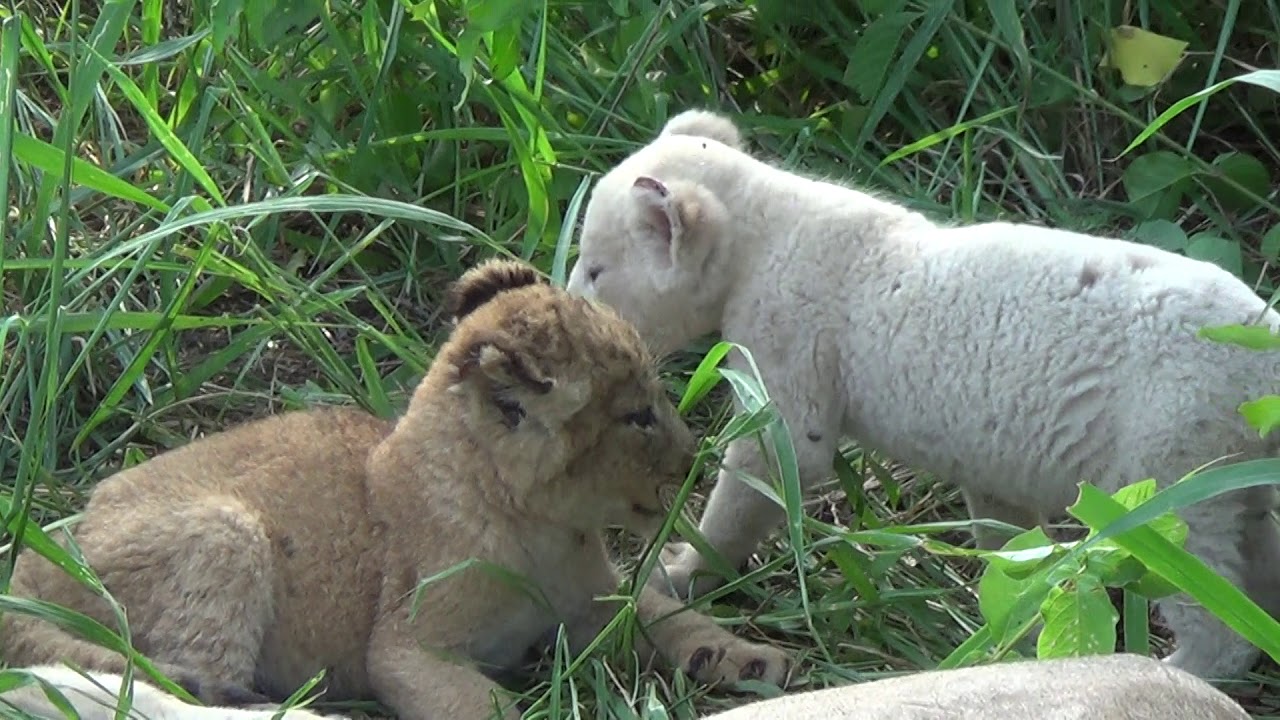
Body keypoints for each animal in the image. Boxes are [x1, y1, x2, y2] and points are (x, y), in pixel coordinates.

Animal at [0, 258, 791, 720]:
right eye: (636, 417)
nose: (696, 461)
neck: (536, 528)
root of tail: (28, 569)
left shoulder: (597, 599)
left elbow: (665, 613)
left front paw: (745, 657)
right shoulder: (407, 650)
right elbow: (488, 707)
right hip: (224, 533)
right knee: (191, 687)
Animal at [564, 108, 1280, 680]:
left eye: (596, 269)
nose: (566, 303)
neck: (766, 227)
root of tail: (1263, 348)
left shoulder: (792, 331)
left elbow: (776, 461)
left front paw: (676, 567)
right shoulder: (996, 453)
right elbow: (1005, 527)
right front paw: (1012, 598)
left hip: (1175, 446)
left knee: (1196, 568)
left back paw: (1180, 665)